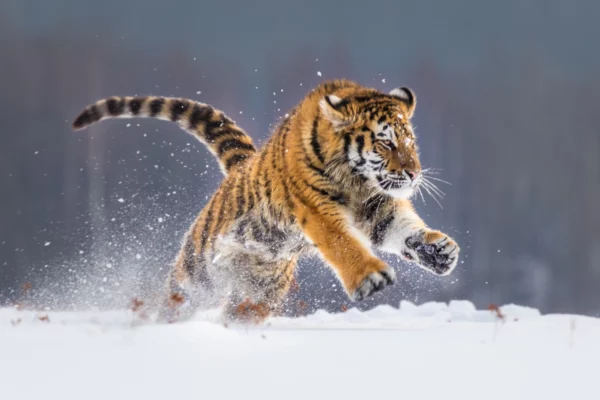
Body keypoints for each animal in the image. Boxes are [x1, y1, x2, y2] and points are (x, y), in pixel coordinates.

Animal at [74, 79, 460, 324]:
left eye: (410, 142)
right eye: (385, 142)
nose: (414, 173)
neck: (356, 180)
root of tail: (239, 166)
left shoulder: (378, 206)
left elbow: (404, 229)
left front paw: (439, 250)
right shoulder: (316, 208)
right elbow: (342, 242)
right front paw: (371, 277)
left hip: (258, 295)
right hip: (197, 275)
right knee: (175, 304)